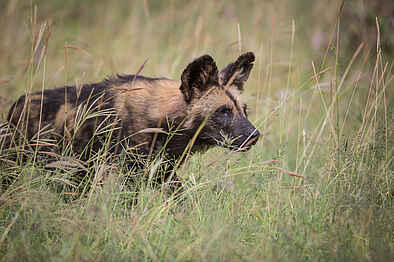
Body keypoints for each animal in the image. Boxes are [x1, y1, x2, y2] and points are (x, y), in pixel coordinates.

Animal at [6, 52, 258, 192]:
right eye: (223, 112)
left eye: (244, 111)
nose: (255, 136)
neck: (161, 118)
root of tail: (17, 104)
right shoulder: (130, 175)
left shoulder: (163, 173)